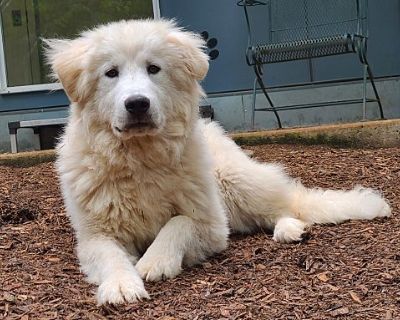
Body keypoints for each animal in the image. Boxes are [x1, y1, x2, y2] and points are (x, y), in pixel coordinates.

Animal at [44, 18, 390, 304]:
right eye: (111, 73)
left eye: (153, 69)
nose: (137, 104)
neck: (141, 156)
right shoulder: (95, 235)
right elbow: (110, 257)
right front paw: (121, 285)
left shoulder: (211, 225)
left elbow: (178, 223)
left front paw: (156, 261)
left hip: (235, 180)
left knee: (284, 207)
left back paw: (290, 228)